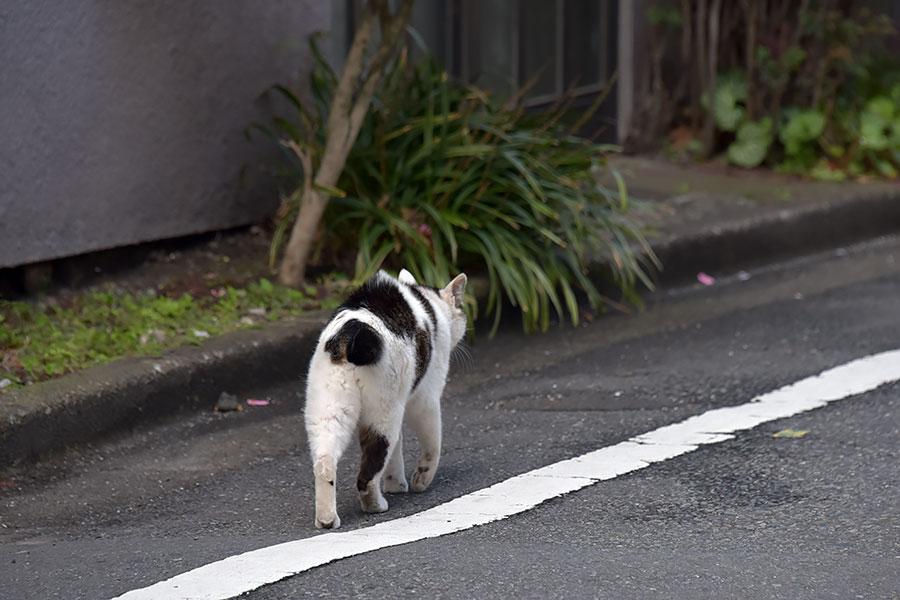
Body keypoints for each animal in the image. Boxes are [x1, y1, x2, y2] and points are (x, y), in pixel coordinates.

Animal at [304, 270, 468, 528]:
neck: (430, 304)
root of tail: (351, 334)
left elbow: (398, 450)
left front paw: (395, 484)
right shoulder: (426, 398)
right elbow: (433, 444)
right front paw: (420, 479)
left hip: (328, 410)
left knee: (325, 462)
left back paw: (327, 519)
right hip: (384, 413)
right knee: (369, 471)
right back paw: (375, 505)